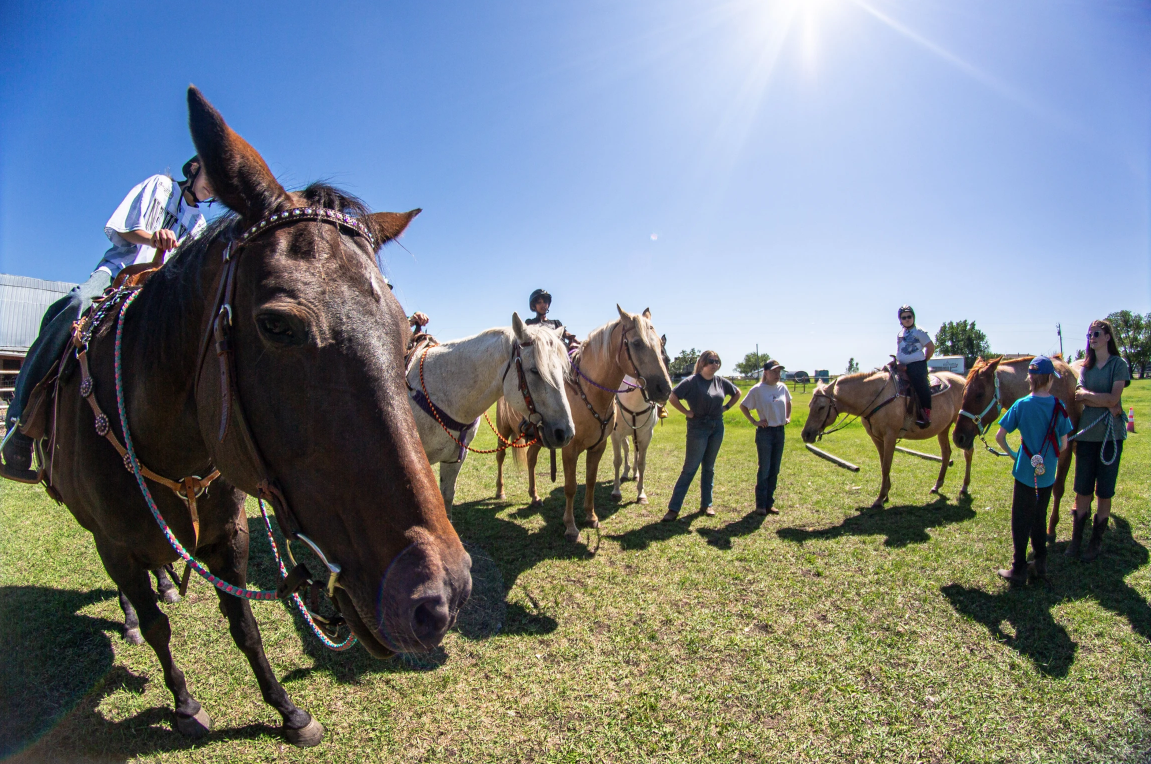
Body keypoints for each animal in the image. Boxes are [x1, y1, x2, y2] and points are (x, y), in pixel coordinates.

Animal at [16, 87, 471, 746]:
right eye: (277, 325)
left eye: (402, 329)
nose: (440, 595)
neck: (165, 447)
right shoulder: (115, 544)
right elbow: (161, 631)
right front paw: (184, 705)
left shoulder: (228, 536)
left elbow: (246, 628)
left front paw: (287, 710)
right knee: (131, 595)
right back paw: (133, 617)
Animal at [496, 306, 672, 541]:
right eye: (636, 343)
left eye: (661, 346)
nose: (664, 389)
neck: (588, 393)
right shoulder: (569, 449)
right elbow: (570, 487)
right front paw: (571, 527)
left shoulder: (598, 447)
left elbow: (590, 480)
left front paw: (591, 516)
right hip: (503, 430)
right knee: (500, 457)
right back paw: (500, 491)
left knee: (531, 460)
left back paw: (534, 496)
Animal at [801, 367, 973, 508]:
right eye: (809, 405)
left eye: (821, 407)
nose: (806, 434)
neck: (877, 398)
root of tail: (963, 380)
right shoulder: (876, 437)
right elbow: (883, 463)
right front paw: (886, 493)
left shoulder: (890, 436)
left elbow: (886, 465)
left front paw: (880, 498)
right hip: (944, 428)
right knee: (946, 453)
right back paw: (937, 485)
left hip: (961, 424)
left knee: (968, 452)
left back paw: (964, 487)